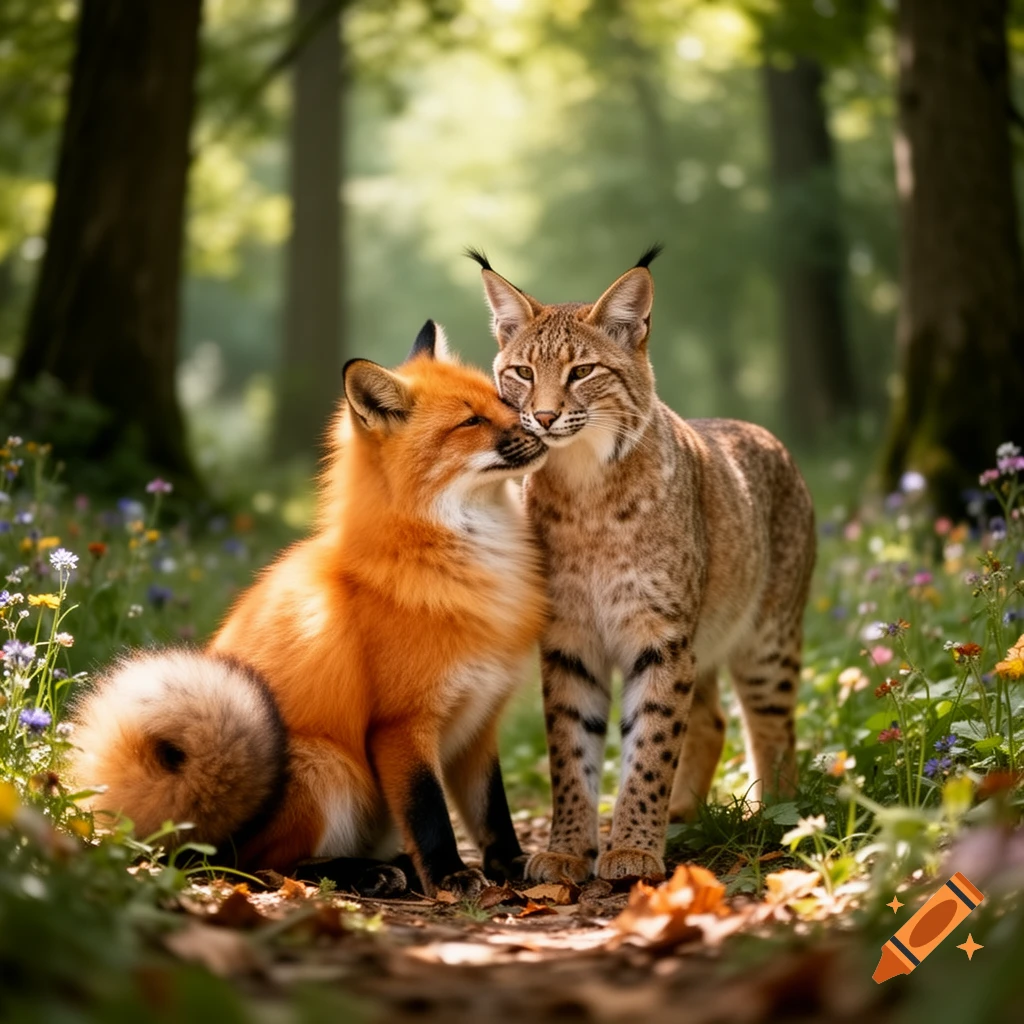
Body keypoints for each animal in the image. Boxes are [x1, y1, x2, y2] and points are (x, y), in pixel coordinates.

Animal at [70, 321, 549, 898]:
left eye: (503, 400)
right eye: (471, 421)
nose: (543, 425)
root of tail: (190, 835)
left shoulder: (479, 721)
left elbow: (492, 813)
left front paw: (512, 865)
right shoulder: (402, 724)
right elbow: (430, 814)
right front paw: (450, 875)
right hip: (327, 768)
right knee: (264, 867)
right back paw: (365, 873)